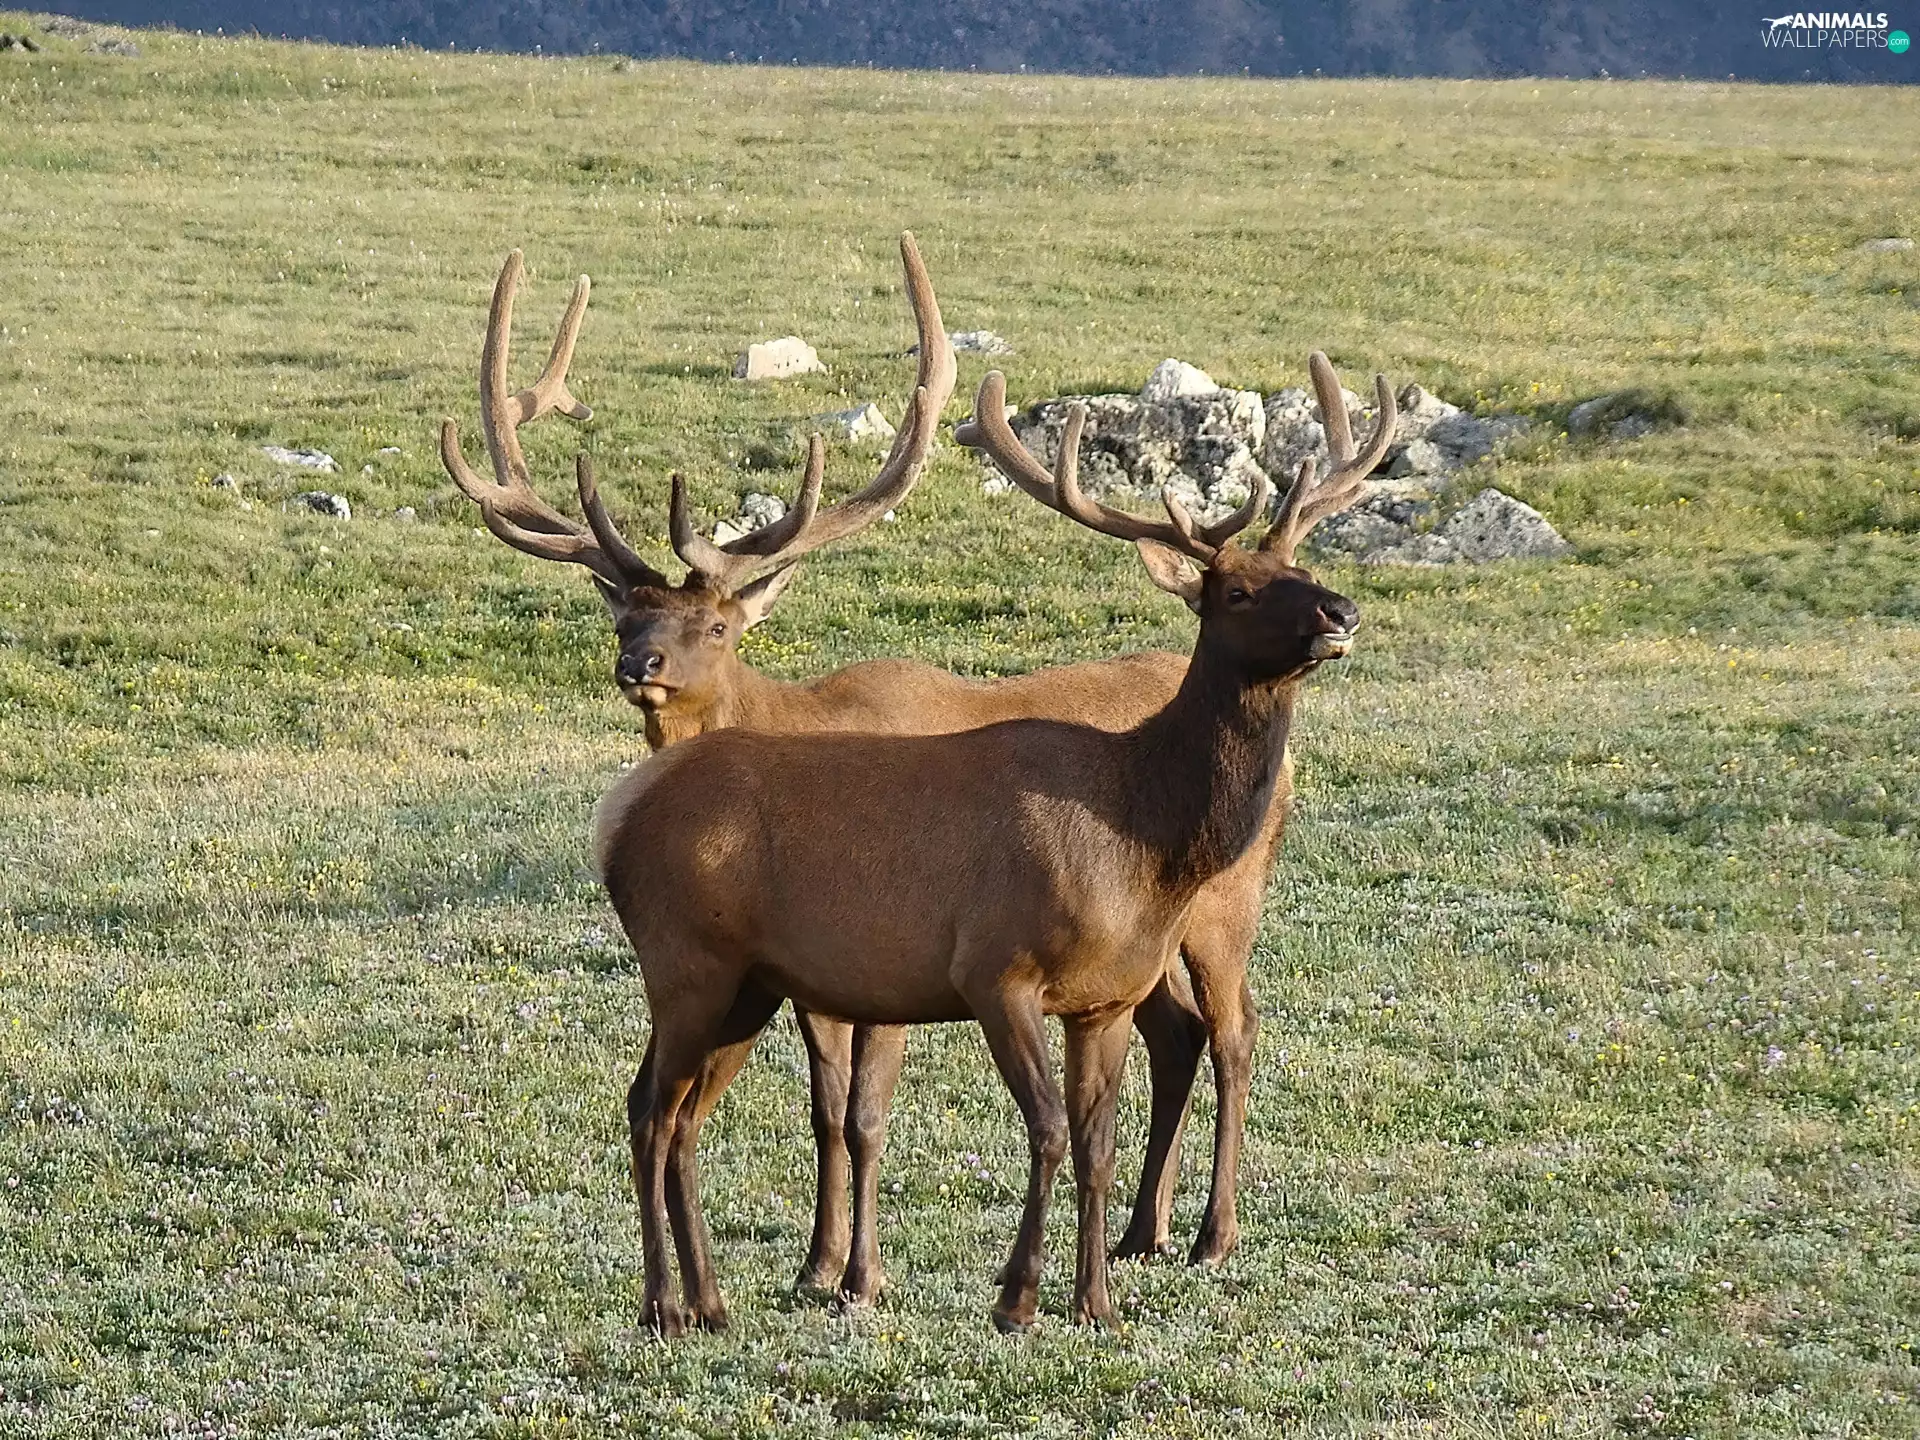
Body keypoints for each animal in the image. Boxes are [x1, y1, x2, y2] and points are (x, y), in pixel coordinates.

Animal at [441, 236, 1394, 1313]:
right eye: (1233, 588)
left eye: (718, 625)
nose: (1343, 613)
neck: (1136, 817)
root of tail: (617, 812)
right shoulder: (962, 970)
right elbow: (912, 1119)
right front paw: (903, 1280)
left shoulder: (1020, 986)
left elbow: (966, 1127)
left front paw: (920, 1282)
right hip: (713, 968)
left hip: (1205, 915)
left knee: (1224, 1034)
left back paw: (1192, 1236)